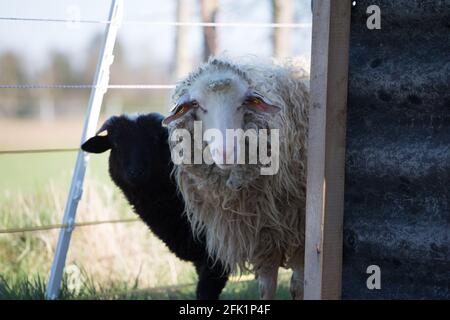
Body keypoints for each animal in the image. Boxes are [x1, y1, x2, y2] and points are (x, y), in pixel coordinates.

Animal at [163, 56, 308, 298]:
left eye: (243, 103)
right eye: (197, 105)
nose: (226, 152)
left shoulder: (298, 224)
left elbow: (299, 284)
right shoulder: (262, 233)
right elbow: (266, 285)